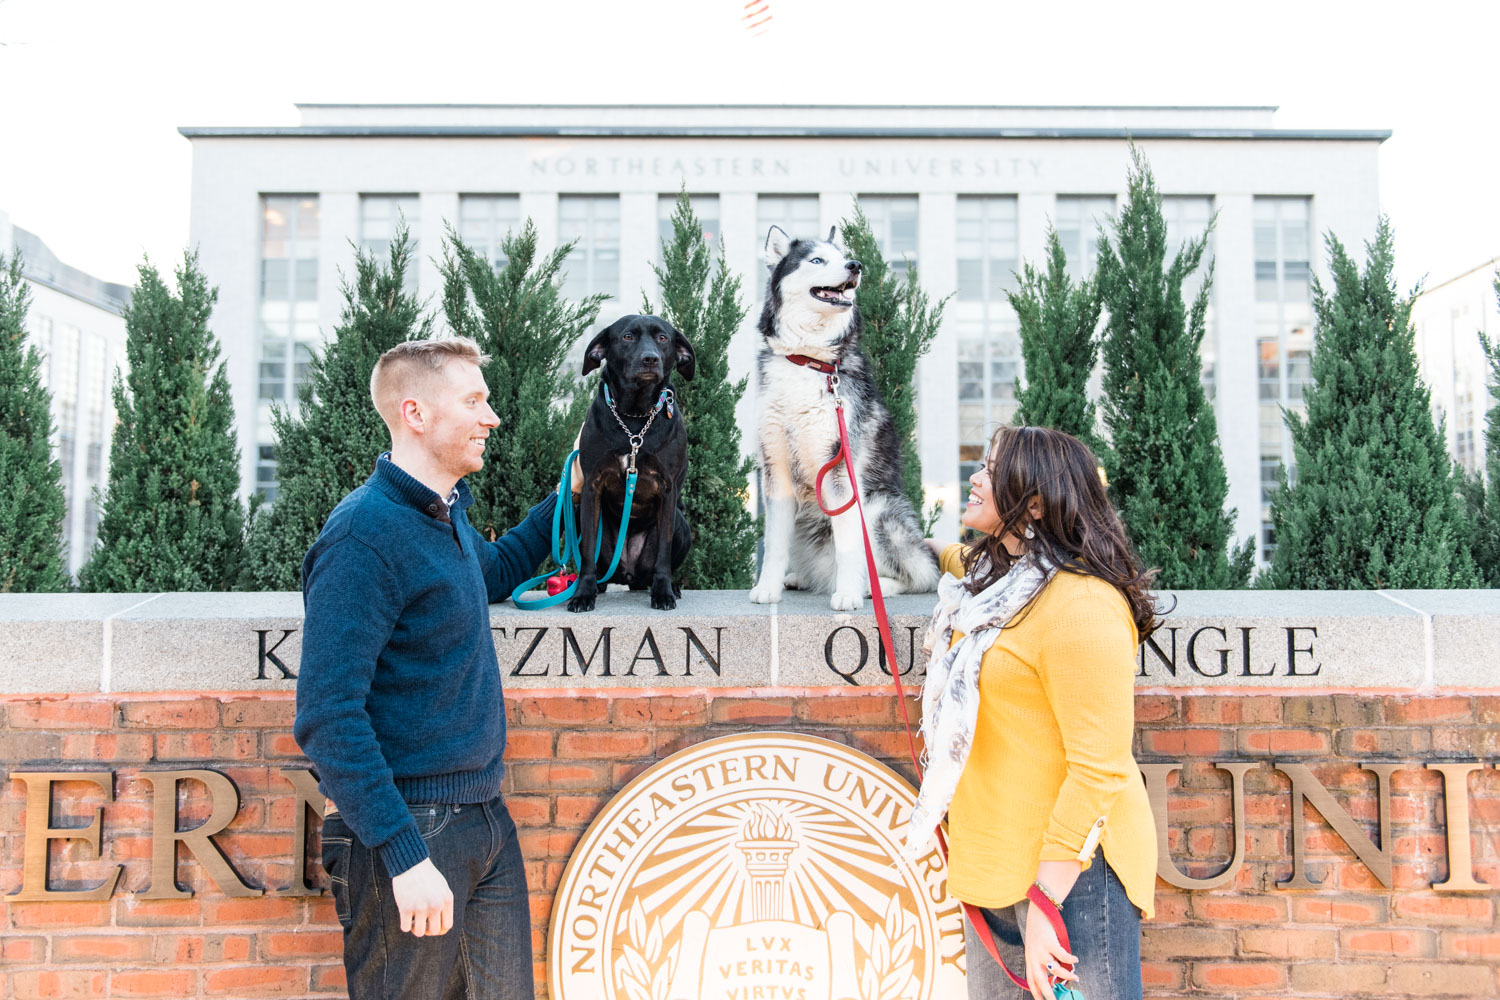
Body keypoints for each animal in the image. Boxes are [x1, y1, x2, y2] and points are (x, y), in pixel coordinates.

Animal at [567, 313, 696, 614]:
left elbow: (663, 553)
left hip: (681, 524)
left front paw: (663, 592)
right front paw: (583, 593)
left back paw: (670, 585)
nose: (650, 359)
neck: (635, 417)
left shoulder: (668, 490)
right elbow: (587, 554)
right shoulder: (591, 488)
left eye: (663, 338)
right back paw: (599, 585)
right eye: (627, 337)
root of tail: (627, 574)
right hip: (578, 515)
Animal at [747, 226, 936, 611]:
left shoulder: (841, 471)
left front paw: (848, 594)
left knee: (921, 576)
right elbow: (773, 543)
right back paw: (800, 578)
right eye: (817, 260)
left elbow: (849, 543)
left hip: (878, 510)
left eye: (845, 256)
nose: (855, 265)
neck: (808, 360)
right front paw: (767, 588)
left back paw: (870, 587)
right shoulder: (776, 469)